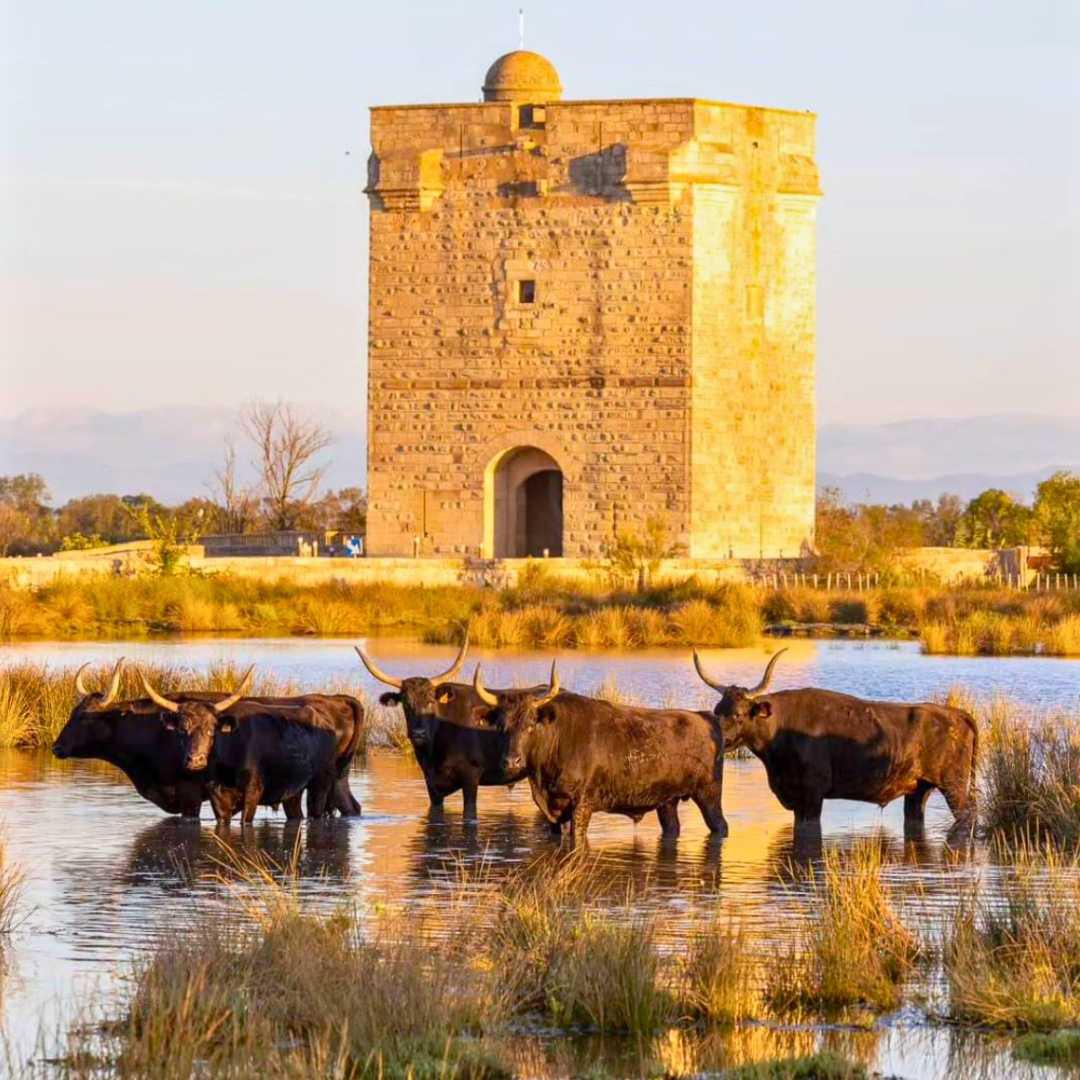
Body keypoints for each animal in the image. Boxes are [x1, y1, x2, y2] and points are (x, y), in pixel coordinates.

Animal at [691, 648, 980, 825]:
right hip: (919, 789)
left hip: (954, 785)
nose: (718, 739)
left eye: (739, 714)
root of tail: (955, 712)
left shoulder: (812, 795)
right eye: (717, 711)